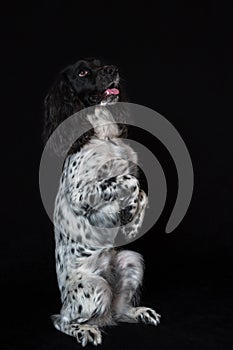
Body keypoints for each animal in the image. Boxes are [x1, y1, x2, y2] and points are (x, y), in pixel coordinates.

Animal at [43, 58, 160, 346]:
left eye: (101, 63)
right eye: (83, 71)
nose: (112, 70)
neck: (103, 135)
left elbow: (142, 191)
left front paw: (132, 221)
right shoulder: (81, 195)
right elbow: (130, 180)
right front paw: (128, 211)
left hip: (130, 260)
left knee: (119, 312)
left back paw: (140, 312)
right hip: (95, 289)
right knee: (62, 321)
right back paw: (85, 330)